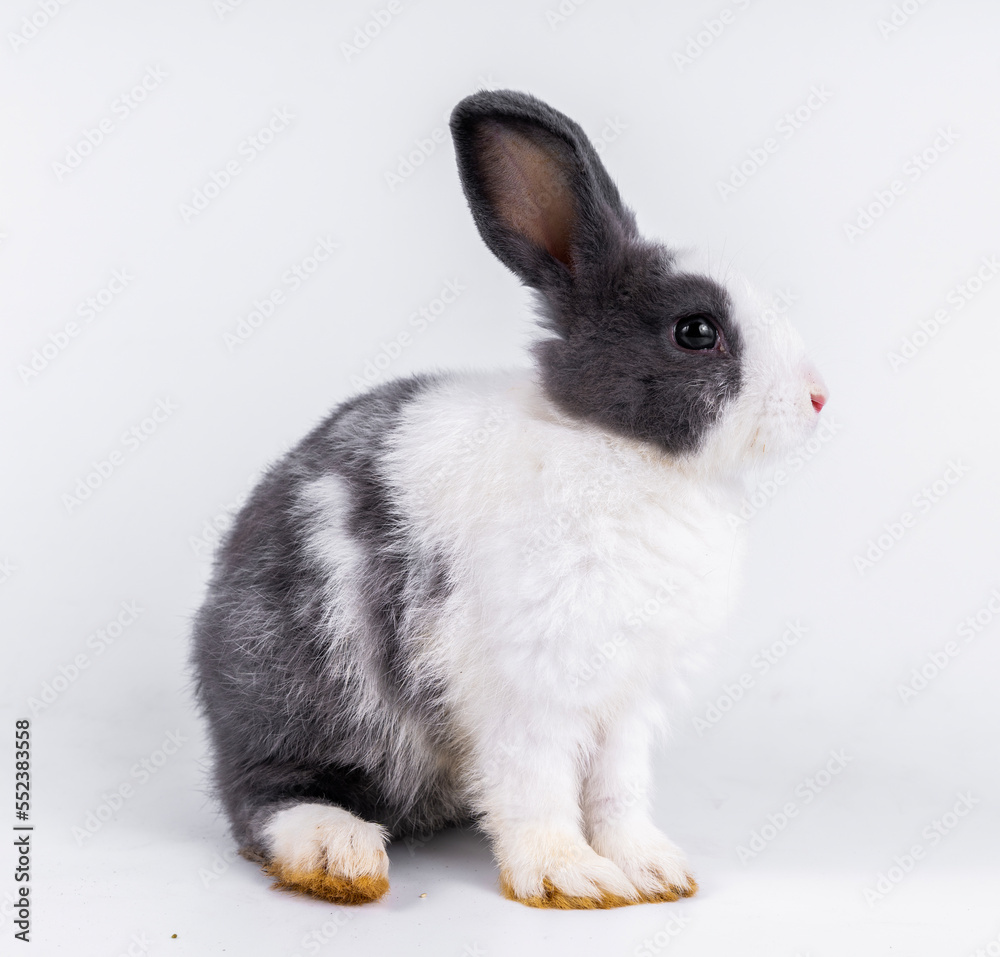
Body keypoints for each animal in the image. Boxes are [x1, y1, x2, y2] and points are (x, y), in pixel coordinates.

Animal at [189, 89, 828, 912]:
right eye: (696, 331)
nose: (818, 397)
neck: (614, 447)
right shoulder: (530, 687)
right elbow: (539, 784)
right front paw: (570, 877)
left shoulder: (627, 703)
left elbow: (618, 793)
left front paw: (652, 871)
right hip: (294, 689)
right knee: (264, 794)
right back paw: (338, 854)